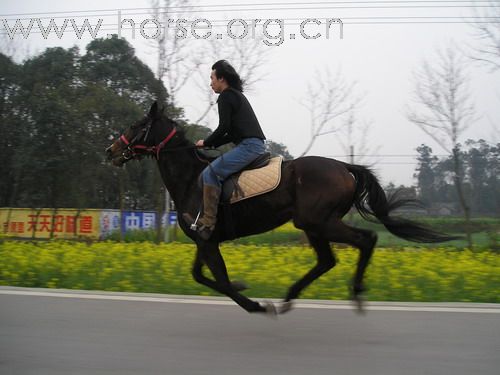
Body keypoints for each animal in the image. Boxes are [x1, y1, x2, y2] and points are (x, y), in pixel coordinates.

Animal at [105, 101, 458, 316]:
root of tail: (344, 168)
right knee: (327, 260)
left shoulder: (206, 240)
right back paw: (289, 297)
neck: (191, 178)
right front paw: (245, 288)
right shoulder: (205, 239)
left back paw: (355, 294)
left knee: (365, 239)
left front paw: (255, 304)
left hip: (319, 222)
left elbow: (219, 280)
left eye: (138, 124)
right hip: (314, 226)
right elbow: (201, 276)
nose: (111, 151)